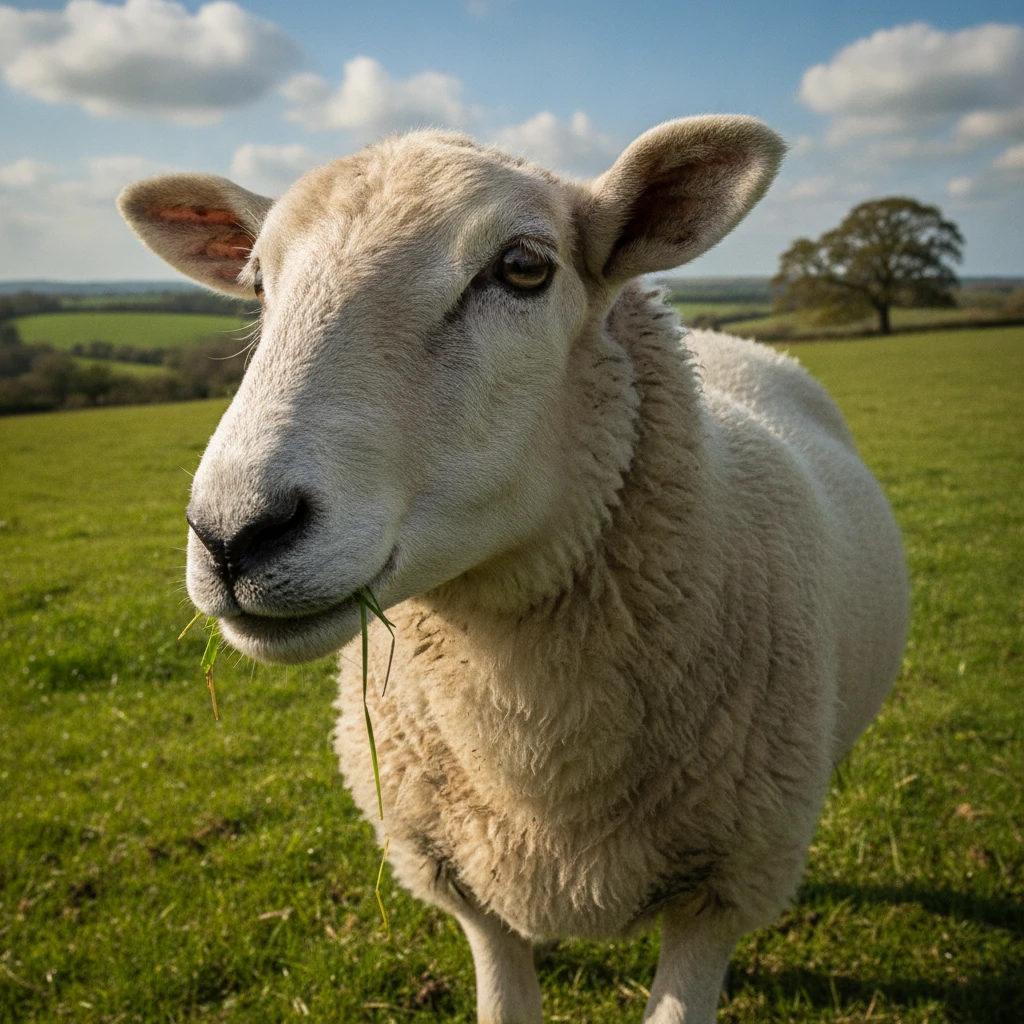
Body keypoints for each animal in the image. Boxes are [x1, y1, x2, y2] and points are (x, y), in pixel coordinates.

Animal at [117, 115, 910, 1023]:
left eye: (524, 268)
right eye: (256, 286)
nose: (232, 534)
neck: (534, 756)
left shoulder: (722, 888)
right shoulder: (462, 880)